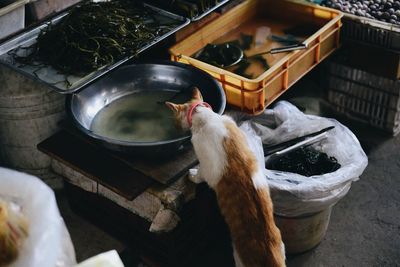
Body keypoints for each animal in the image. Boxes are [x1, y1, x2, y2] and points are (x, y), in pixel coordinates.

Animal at [167, 89, 286, 266]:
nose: (174, 129)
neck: (204, 116)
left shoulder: (207, 166)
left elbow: (200, 174)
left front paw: (192, 175)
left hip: (239, 258)